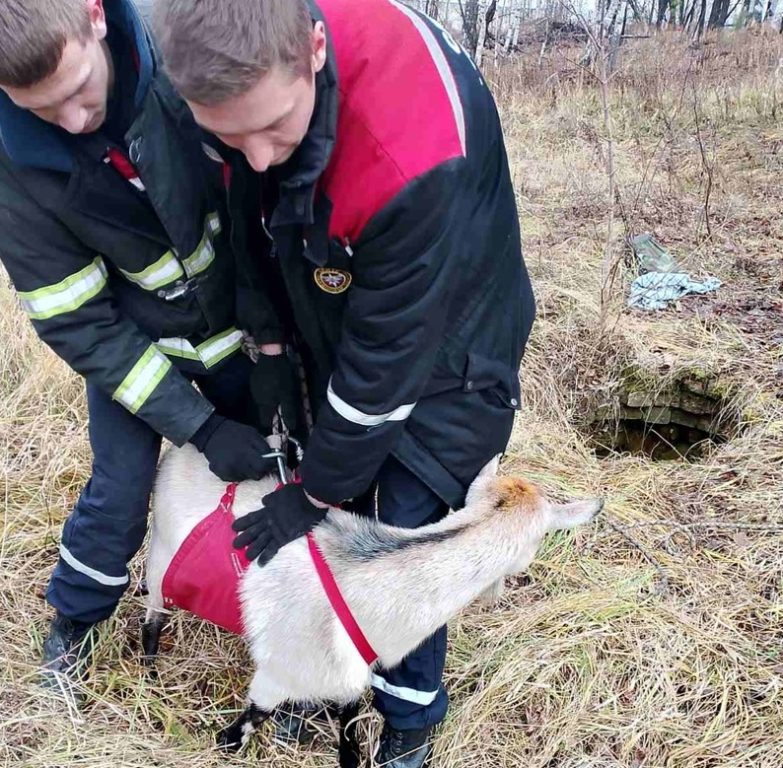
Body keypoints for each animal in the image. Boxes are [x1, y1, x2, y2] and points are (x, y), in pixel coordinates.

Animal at [144, 440, 604, 764]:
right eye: (540, 542)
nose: (503, 591)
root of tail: (180, 451)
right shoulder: (278, 674)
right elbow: (254, 714)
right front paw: (227, 744)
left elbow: (348, 715)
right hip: (160, 559)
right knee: (152, 617)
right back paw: (149, 673)